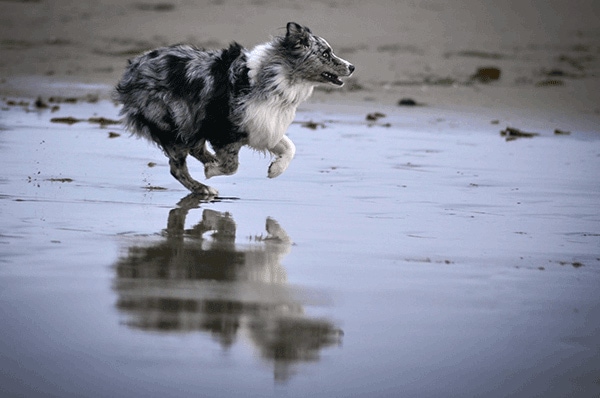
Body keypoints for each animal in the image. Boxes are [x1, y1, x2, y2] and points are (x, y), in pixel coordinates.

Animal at [115, 22, 354, 196]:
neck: (278, 78)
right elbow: (232, 166)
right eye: (325, 54)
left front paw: (275, 170)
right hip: (174, 122)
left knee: (194, 149)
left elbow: (290, 147)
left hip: (192, 121)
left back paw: (209, 163)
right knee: (177, 167)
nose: (352, 67)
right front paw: (212, 170)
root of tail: (132, 67)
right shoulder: (225, 128)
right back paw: (203, 188)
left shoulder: (262, 125)